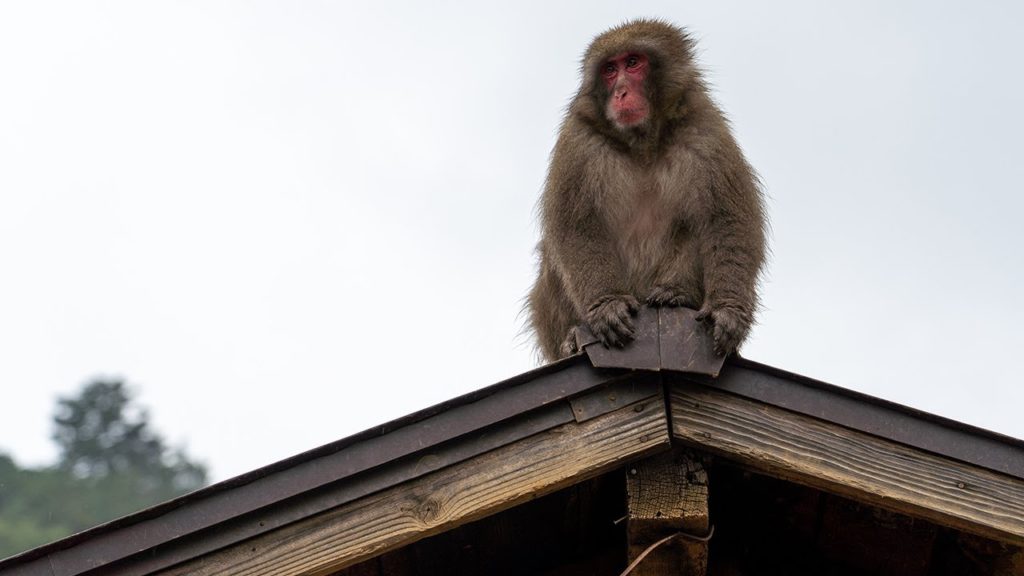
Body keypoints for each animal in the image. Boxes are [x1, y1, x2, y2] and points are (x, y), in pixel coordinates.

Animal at [528, 19, 767, 363]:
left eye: (632, 63)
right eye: (609, 70)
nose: (621, 92)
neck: (642, 144)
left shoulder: (705, 128)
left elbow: (727, 218)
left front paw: (728, 310)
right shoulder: (578, 142)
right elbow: (575, 225)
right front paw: (607, 304)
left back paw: (675, 293)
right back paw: (572, 337)